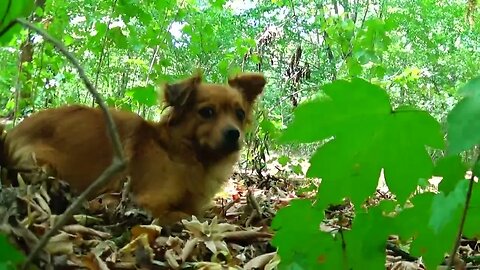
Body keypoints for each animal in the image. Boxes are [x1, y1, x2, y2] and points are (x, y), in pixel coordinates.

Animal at [0, 71, 266, 224]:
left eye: (240, 114)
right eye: (207, 112)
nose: (234, 134)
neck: (184, 154)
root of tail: (10, 133)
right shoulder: (148, 200)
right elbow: (190, 216)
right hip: (44, 161)